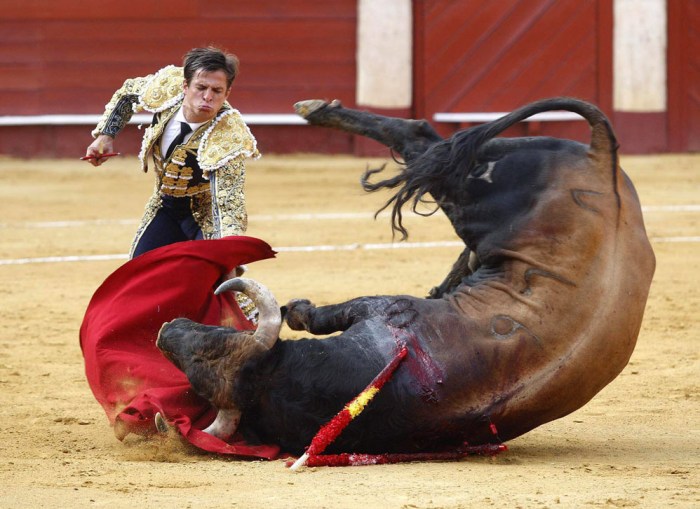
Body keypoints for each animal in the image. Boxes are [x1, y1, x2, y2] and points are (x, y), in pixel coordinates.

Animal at [154, 97, 656, 454]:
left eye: (212, 346)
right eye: (193, 371)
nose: (167, 330)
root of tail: (602, 157)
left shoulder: (385, 310)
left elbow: (325, 314)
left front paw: (298, 309)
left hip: (471, 189)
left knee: (419, 136)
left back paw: (317, 110)